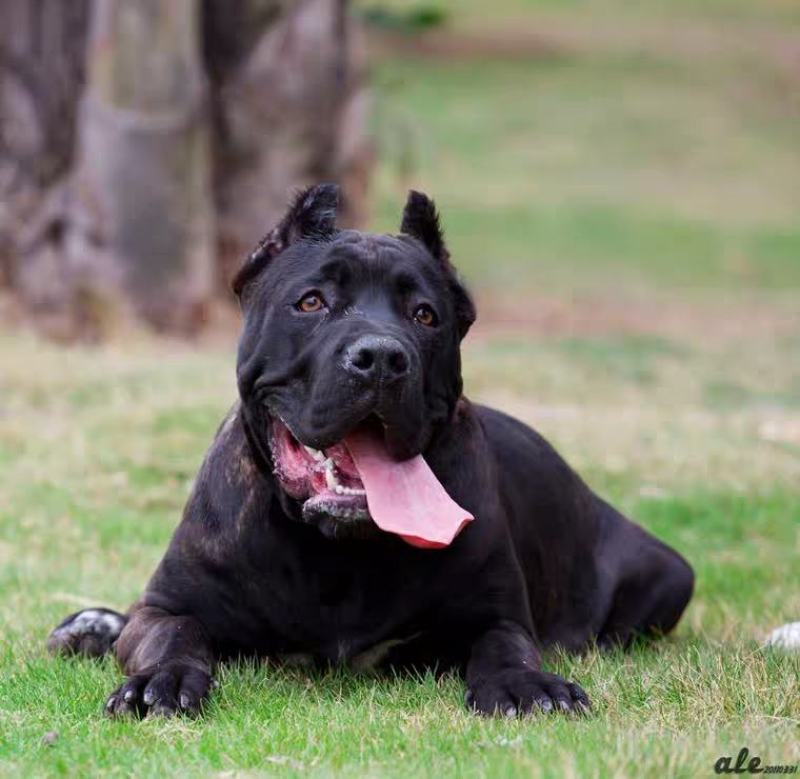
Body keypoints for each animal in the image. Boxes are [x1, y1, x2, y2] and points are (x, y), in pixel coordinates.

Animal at [48, 183, 692, 720]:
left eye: (425, 315)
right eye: (311, 302)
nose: (381, 356)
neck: (340, 553)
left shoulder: (497, 614)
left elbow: (504, 646)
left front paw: (526, 684)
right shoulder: (168, 604)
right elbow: (171, 634)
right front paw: (160, 681)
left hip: (668, 577)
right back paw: (91, 625)